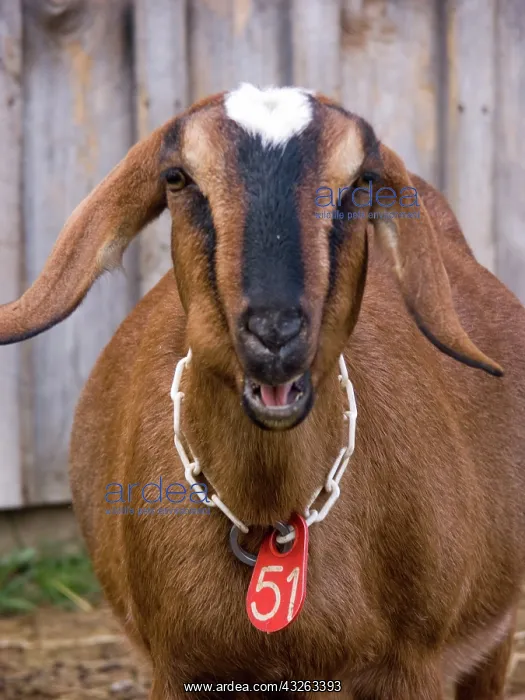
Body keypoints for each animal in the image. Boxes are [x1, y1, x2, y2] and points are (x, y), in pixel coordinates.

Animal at [1, 83, 525, 699]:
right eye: (176, 177)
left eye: (363, 182)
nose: (275, 331)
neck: (267, 512)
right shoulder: (177, 669)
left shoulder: (414, 664)